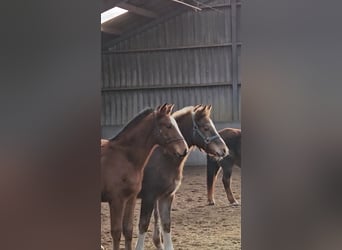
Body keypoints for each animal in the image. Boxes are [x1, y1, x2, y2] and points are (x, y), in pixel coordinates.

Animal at [101, 103, 190, 250]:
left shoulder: (130, 198)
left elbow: (128, 230)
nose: (184, 150)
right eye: (168, 126)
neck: (125, 157)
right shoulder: (116, 200)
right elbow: (116, 232)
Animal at [135, 105, 228, 250]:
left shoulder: (166, 195)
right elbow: (144, 224)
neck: (161, 158)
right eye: (206, 127)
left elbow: (165, 222)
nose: (224, 150)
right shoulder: (149, 196)